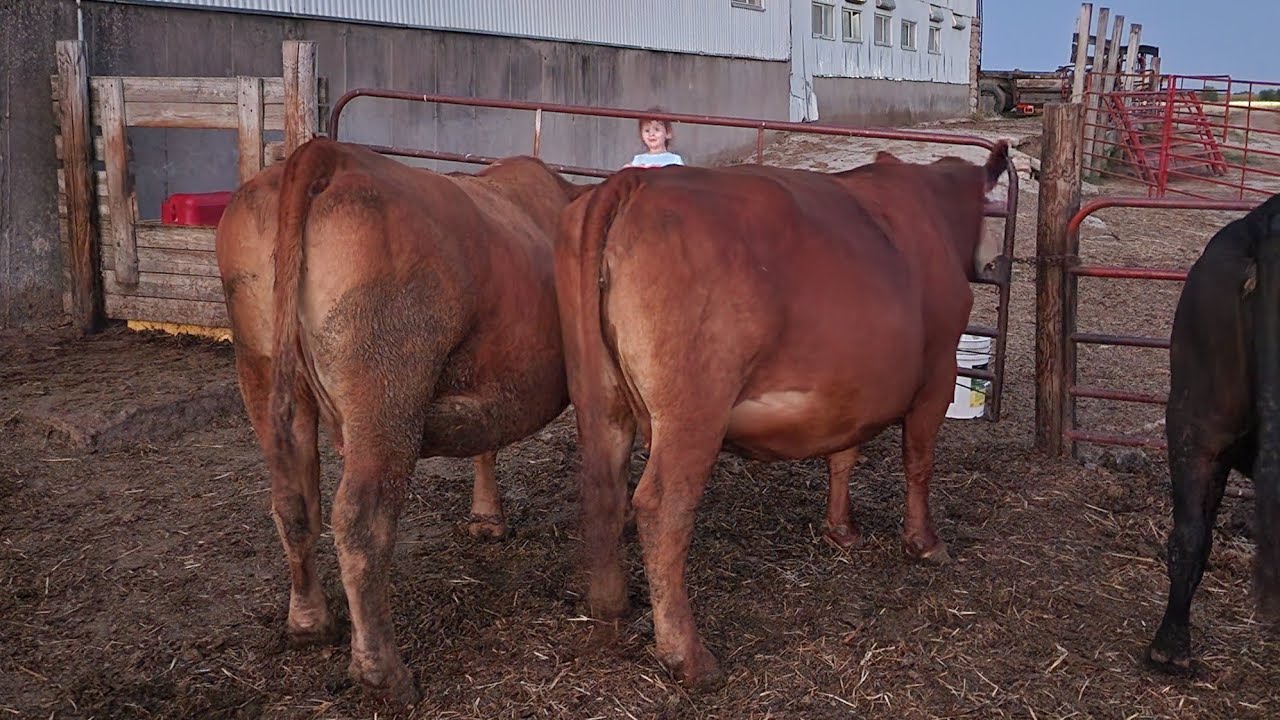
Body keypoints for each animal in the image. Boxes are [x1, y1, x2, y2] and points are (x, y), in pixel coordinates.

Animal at [214, 137, 588, 705]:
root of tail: (327, 154)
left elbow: (487, 436)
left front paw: (486, 519)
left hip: (261, 367)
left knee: (293, 503)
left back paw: (309, 623)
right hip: (387, 392)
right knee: (361, 521)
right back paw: (384, 674)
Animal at [554, 143, 1010, 689]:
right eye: (992, 208)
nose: (997, 263)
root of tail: (633, 184)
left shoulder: (854, 385)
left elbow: (843, 455)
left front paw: (842, 530)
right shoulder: (938, 373)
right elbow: (919, 461)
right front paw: (925, 542)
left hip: (598, 398)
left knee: (603, 486)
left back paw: (610, 608)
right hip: (694, 407)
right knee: (662, 506)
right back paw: (688, 656)